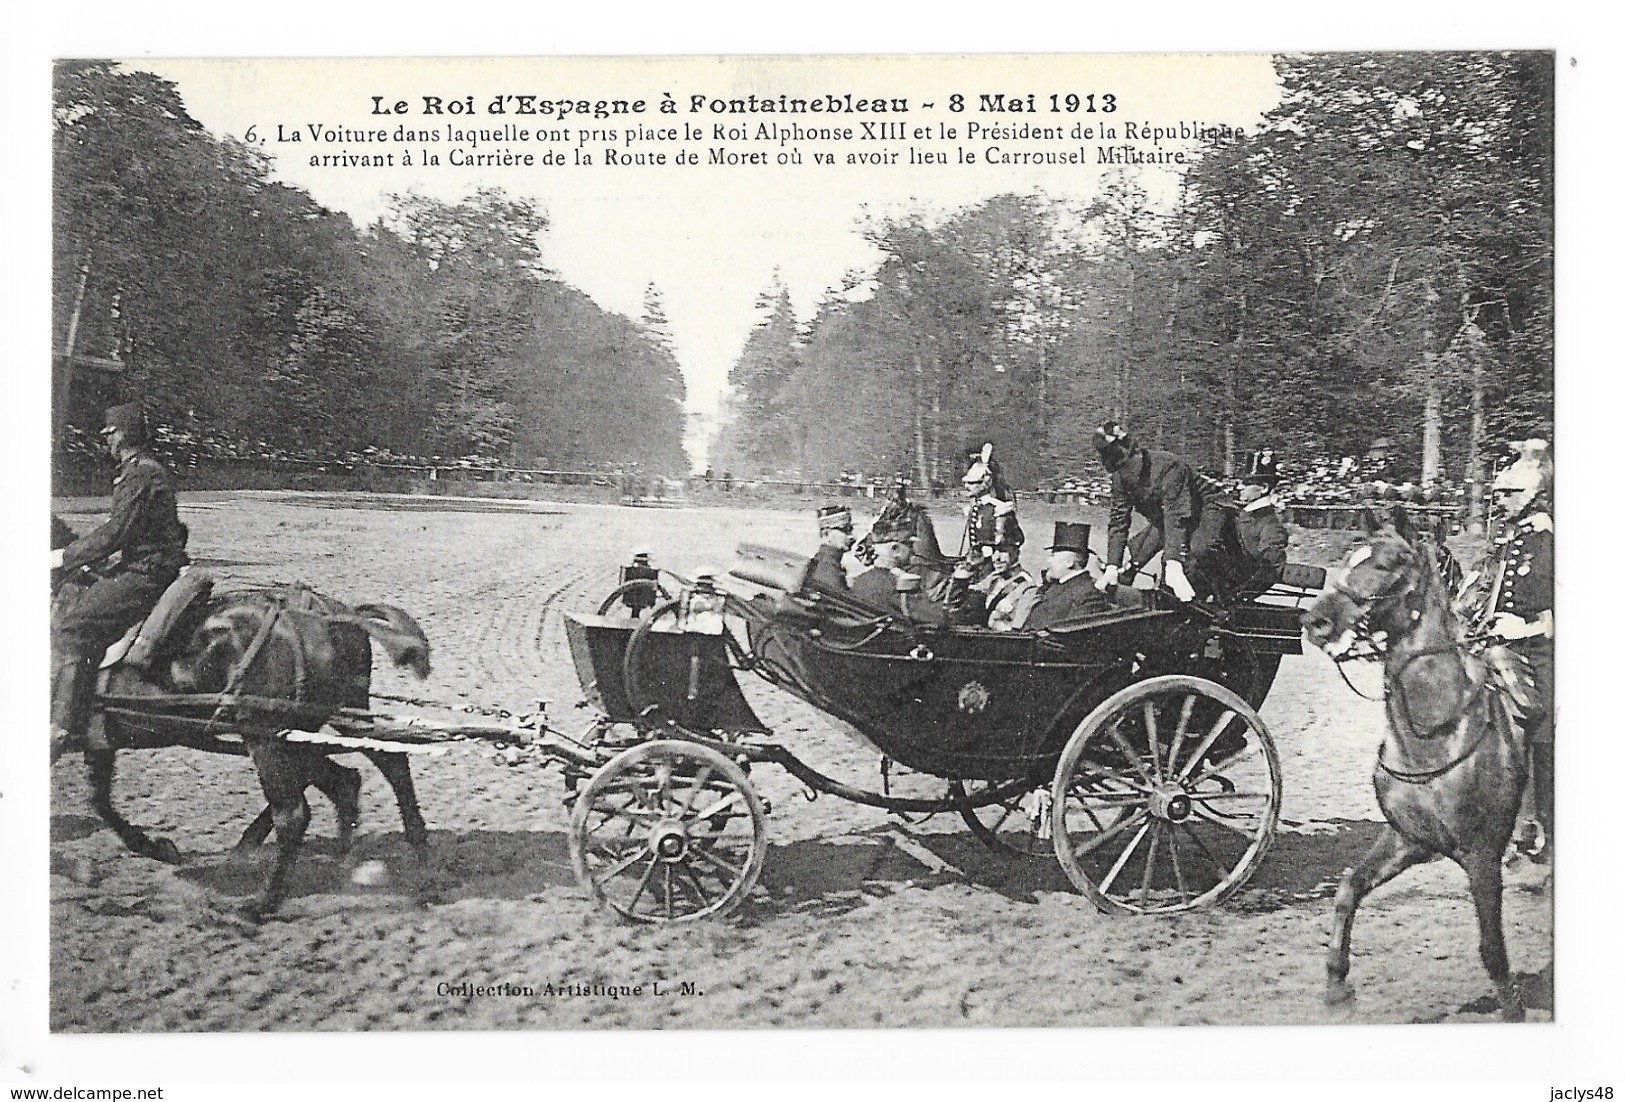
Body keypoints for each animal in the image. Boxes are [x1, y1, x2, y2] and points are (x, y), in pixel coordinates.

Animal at [65, 581, 432, 916]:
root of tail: (336, 618)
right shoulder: (100, 741)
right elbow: (100, 800)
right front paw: (156, 848)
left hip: (268, 736)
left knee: (296, 812)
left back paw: (261, 902)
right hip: (328, 720)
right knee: (370, 768)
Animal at [1293, 513, 1534, 1020]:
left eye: (1387, 564)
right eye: (1349, 557)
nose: (1315, 622)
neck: (1436, 732)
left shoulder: (1482, 856)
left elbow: (1492, 949)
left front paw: (1513, 1009)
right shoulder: (1410, 840)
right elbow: (1349, 887)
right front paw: (1337, 988)